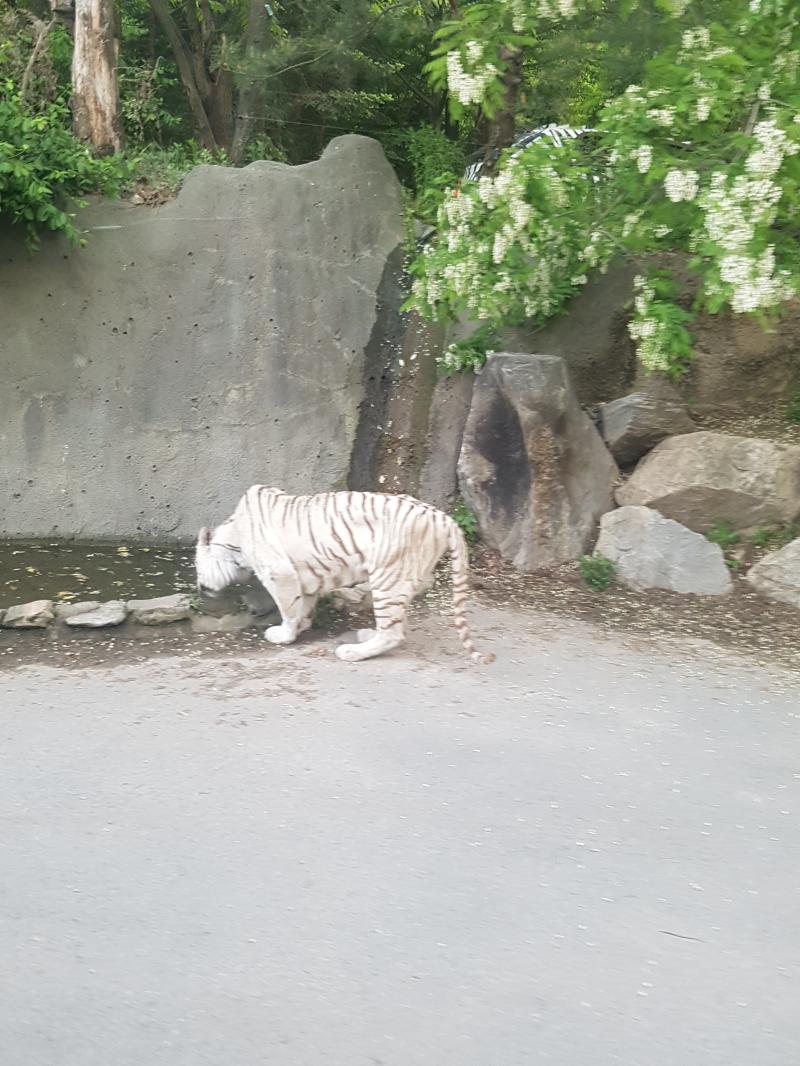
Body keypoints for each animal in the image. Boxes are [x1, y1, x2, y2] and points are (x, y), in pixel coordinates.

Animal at [196, 486, 494, 665]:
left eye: (197, 567)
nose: (199, 587)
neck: (234, 540)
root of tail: (443, 518)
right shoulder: (306, 574)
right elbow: (303, 605)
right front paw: (303, 626)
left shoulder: (281, 574)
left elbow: (289, 608)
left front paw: (284, 635)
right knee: (397, 622)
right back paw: (367, 635)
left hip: (386, 577)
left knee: (393, 633)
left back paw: (352, 652)